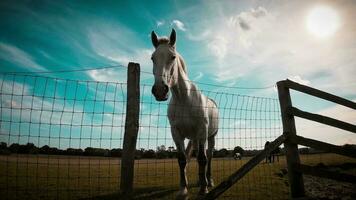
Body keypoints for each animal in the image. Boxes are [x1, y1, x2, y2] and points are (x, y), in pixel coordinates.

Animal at [149, 29, 218, 198]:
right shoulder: (176, 133)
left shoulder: (202, 131)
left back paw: (209, 181)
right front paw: (183, 190)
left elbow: (202, 159)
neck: (183, 99)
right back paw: (201, 180)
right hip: (195, 138)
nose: (160, 90)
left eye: (173, 57)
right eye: (153, 58)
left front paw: (204, 189)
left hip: (210, 136)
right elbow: (182, 159)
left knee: (209, 156)